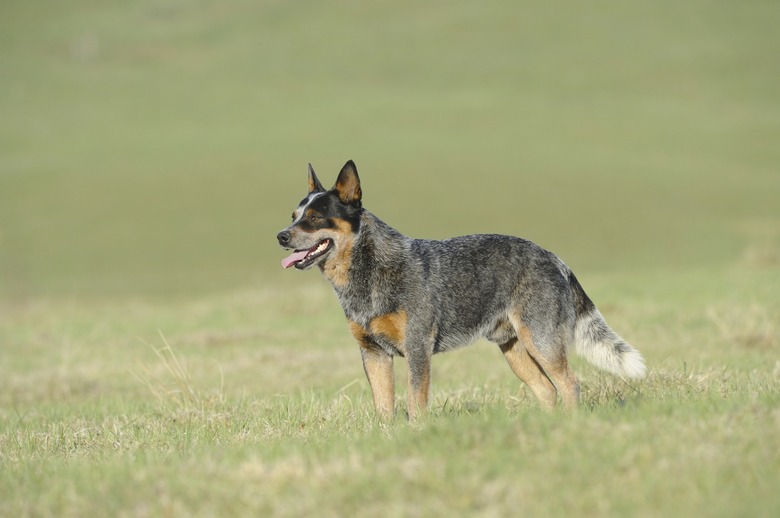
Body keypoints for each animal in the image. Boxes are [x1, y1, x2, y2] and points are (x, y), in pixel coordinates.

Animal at [278, 160, 644, 420]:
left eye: (316, 217)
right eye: (294, 215)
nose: (281, 235)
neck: (368, 272)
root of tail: (555, 258)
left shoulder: (417, 347)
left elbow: (415, 403)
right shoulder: (373, 353)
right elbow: (384, 410)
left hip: (542, 342)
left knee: (570, 384)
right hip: (514, 351)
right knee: (547, 391)